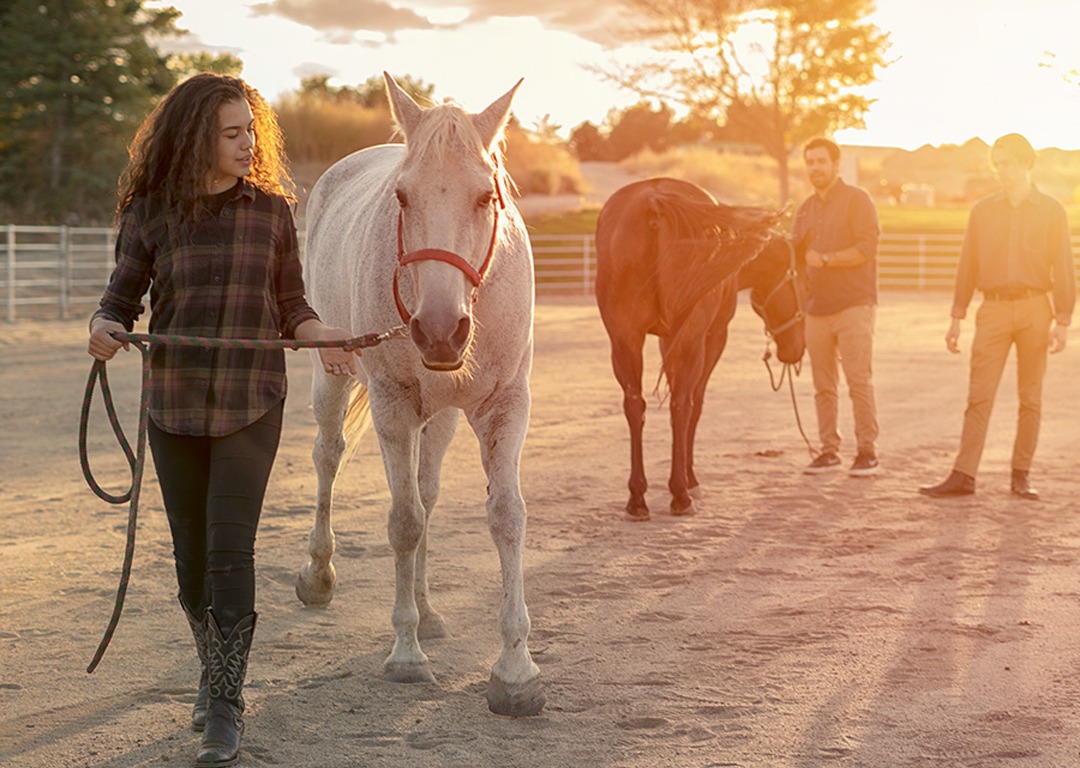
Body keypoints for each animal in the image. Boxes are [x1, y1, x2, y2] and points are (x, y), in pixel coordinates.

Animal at [298, 72, 544, 712]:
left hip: (442, 417)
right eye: (403, 198)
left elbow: (506, 516)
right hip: (332, 376)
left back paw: (430, 611)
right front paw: (405, 654)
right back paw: (320, 573)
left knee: (427, 491)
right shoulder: (392, 406)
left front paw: (516, 670)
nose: (437, 329)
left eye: (486, 197)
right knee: (328, 457)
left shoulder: (505, 407)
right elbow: (404, 520)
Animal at [596, 177, 807, 520]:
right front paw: (690, 479)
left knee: (634, 405)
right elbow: (696, 403)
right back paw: (681, 493)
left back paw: (637, 498)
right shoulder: (712, 337)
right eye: (803, 282)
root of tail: (654, 202)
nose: (797, 349)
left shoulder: (664, 339)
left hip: (625, 341)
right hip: (691, 342)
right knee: (681, 405)